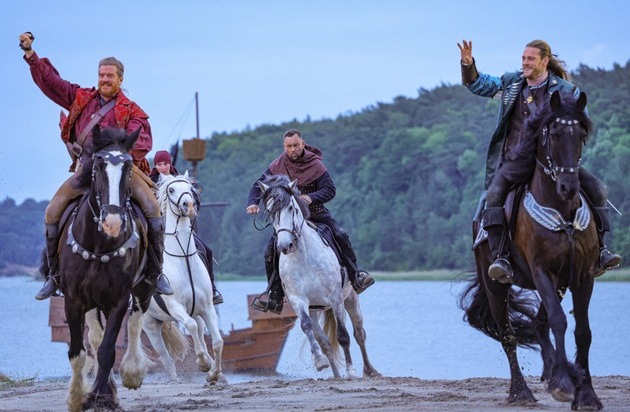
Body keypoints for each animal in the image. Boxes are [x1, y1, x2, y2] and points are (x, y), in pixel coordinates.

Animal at [58, 127, 154, 410]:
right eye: (98, 165)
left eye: (129, 166)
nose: (112, 222)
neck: (100, 244)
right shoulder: (74, 299)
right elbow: (79, 351)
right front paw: (77, 397)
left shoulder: (119, 299)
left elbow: (108, 350)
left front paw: (103, 396)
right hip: (92, 302)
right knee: (95, 336)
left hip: (144, 289)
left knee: (135, 322)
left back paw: (132, 372)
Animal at [142, 173, 226, 384]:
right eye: (171, 190)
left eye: (190, 188)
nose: (189, 205)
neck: (183, 258)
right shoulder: (175, 307)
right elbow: (191, 326)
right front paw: (203, 364)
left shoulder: (207, 307)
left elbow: (217, 341)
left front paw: (214, 373)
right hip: (149, 324)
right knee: (166, 357)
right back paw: (175, 379)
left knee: (201, 334)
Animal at [260, 175, 380, 378]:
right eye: (269, 211)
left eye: (291, 208)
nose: (285, 246)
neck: (304, 258)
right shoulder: (299, 300)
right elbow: (307, 327)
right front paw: (319, 361)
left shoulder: (336, 298)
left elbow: (343, 335)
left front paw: (351, 371)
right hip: (315, 309)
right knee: (325, 342)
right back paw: (336, 375)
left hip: (351, 299)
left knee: (359, 334)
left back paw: (369, 370)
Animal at [462, 91, 604, 410]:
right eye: (553, 134)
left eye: (581, 135)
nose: (568, 187)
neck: (562, 212)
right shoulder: (542, 272)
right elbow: (559, 321)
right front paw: (563, 384)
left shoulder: (583, 275)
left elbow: (583, 331)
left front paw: (586, 393)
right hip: (495, 285)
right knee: (508, 335)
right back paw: (522, 391)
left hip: (560, 282)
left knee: (539, 324)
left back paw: (553, 371)